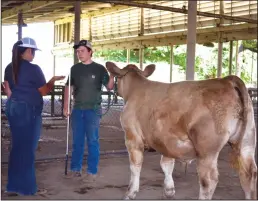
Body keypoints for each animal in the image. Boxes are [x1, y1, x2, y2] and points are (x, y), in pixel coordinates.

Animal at [106, 61, 256, 199]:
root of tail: (227, 80)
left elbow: (135, 166)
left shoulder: (132, 136)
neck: (135, 88)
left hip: (207, 150)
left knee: (208, 180)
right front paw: (169, 190)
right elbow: (167, 164)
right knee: (249, 173)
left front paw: (130, 192)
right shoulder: (165, 140)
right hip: (247, 142)